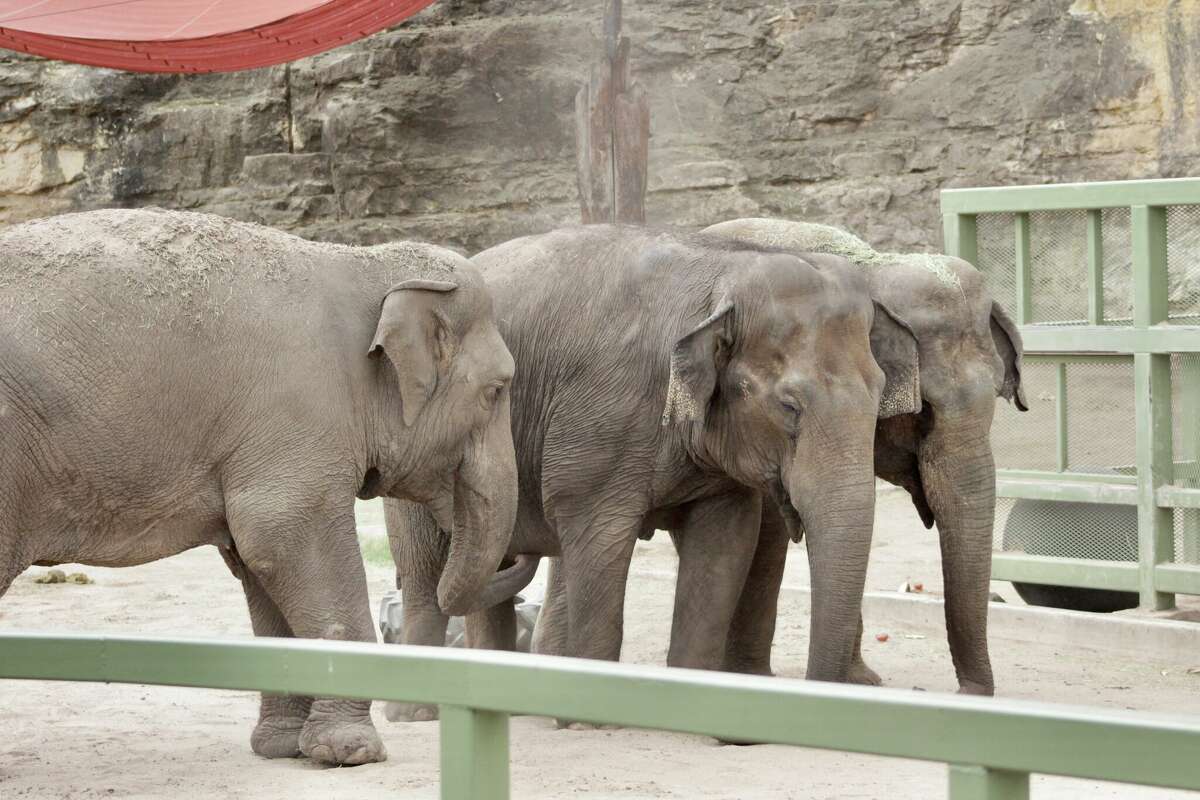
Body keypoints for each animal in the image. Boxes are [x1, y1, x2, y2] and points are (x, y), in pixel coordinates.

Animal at [0, 209, 525, 767]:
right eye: (496, 390)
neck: (361, 262)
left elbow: (258, 561)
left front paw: (282, 748)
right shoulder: (296, 411)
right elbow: (284, 536)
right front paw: (351, 752)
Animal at [384, 221, 916, 724]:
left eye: (880, 397)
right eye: (789, 406)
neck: (725, 271)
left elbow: (723, 545)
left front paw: (691, 713)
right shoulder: (598, 423)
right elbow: (599, 539)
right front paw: (588, 720)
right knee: (424, 566)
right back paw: (416, 712)